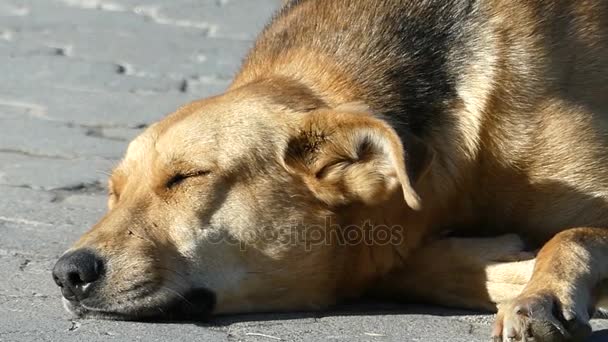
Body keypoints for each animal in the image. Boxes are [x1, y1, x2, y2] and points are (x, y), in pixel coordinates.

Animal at [52, 1, 608, 340]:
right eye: (114, 193)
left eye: (187, 177)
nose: (66, 274)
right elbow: (411, 267)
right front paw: (505, 265)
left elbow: (572, 235)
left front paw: (543, 292)